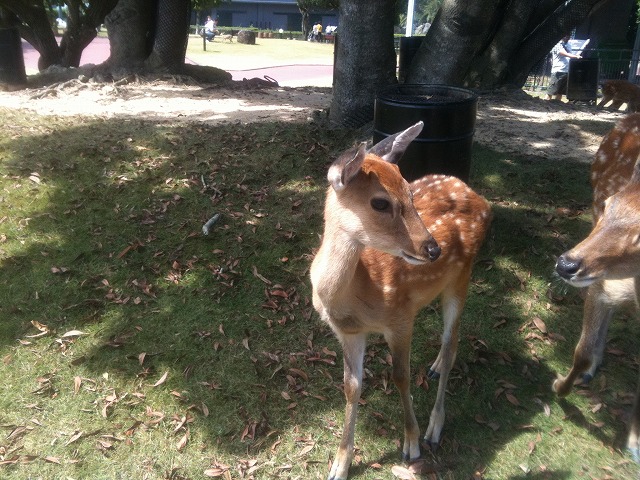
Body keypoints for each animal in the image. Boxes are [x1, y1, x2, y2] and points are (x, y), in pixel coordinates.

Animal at [310, 122, 490, 478]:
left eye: (410, 193)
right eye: (380, 203)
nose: (433, 249)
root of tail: (482, 200)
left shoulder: (401, 318)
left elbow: (401, 377)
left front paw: (411, 444)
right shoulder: (348, 332)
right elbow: (351, 386)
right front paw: (339, 464)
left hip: (462, 277)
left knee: (451, 341)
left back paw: (435, 427)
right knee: (452, 341)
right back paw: (435, 367)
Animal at [552, 114, 640, 456]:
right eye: (609, 205)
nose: (566, 264)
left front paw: (635, 442)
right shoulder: (602, 286)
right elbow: (582, 351)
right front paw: (560, 386)